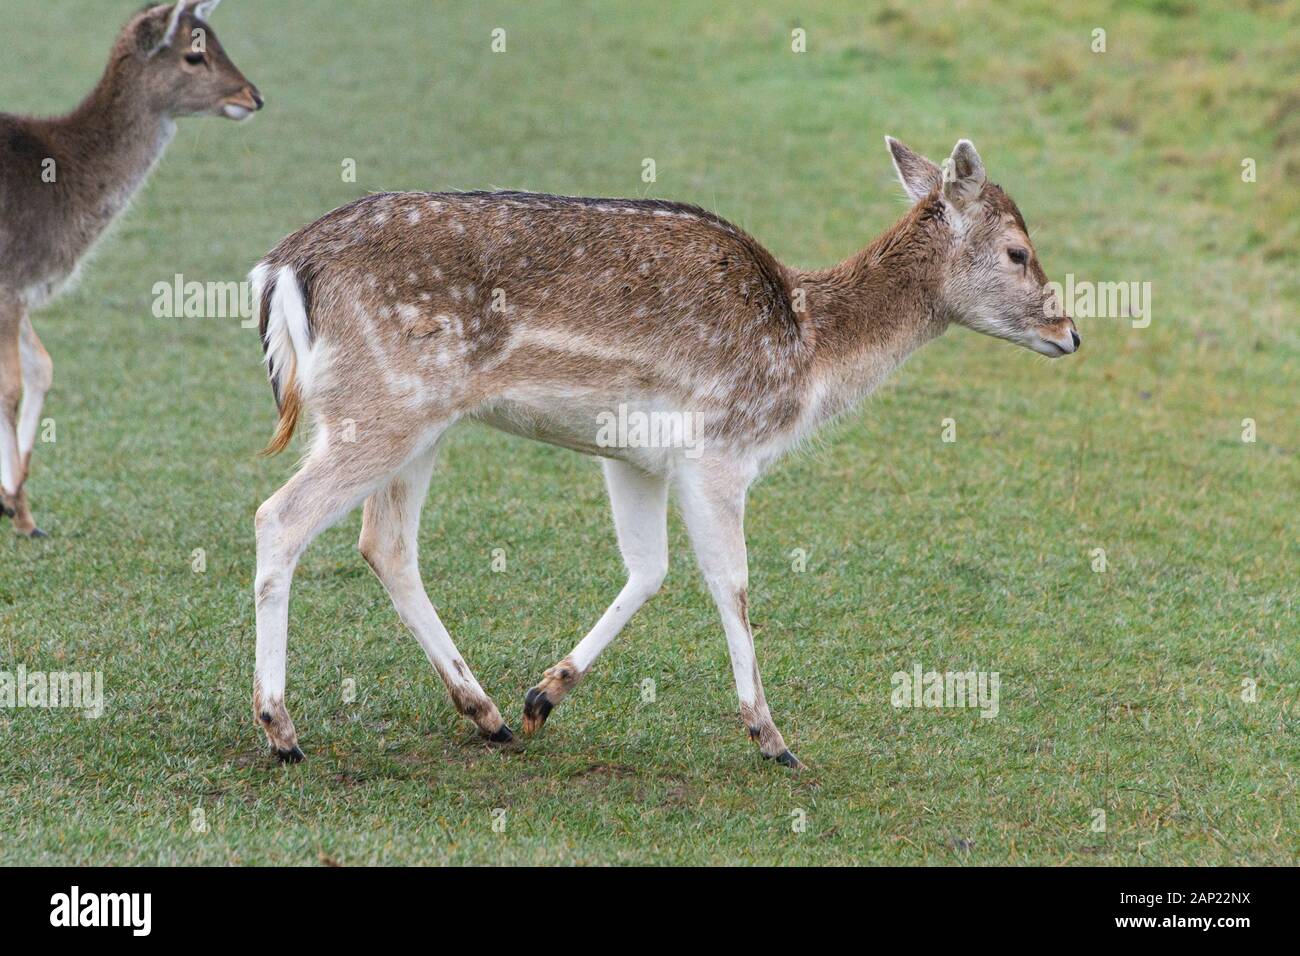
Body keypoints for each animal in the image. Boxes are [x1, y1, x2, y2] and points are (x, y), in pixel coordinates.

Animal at [0, 1, 261, 536]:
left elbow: (43, 368)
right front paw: (15, 507)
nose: (253, 95)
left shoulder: (21, 291)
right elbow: (11, 386)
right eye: (193, 56)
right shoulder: (10, 282)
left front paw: (21, 507)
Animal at [250, 137, 1079, 768]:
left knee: (385, 543)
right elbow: (731, 582)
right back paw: (281, 730)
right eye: (1018, 251)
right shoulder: (720, 451)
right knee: (279, 518)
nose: (1070, 332)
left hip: (419, 422)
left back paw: (485, 712)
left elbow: (649, 569)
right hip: (383, 407)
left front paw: (543, 697)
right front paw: (771, 737)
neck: (807, 352)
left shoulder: (633, 456)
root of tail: (282, 267)